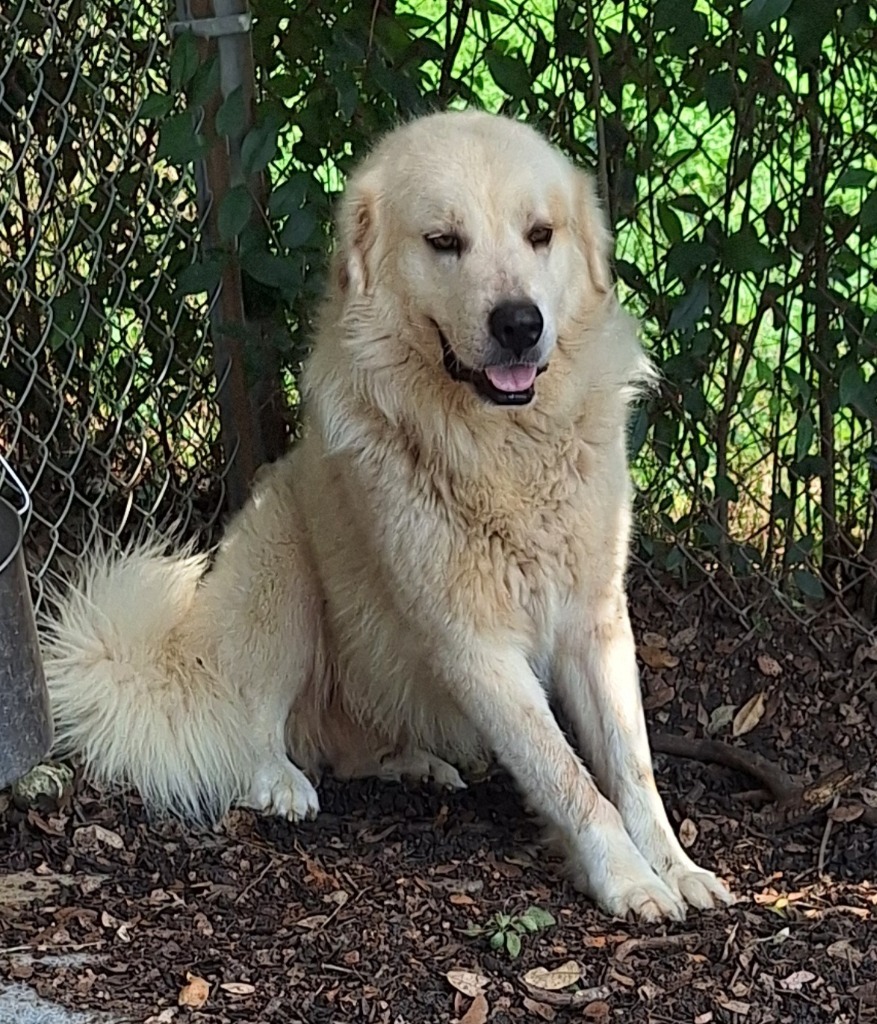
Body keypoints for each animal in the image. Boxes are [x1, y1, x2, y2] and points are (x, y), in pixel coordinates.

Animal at [47, 112, 733, 921]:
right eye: (444, 242)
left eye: (540, 234)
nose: (519, 324)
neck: (503, 449)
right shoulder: (475, 648)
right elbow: (567, 775)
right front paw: (626, 877)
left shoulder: (594, 621)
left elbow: (631, 766)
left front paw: (675, 866)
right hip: (283, 583)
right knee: (249, 725)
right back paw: (282, 784)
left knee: (344, 748)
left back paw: (414, 764)